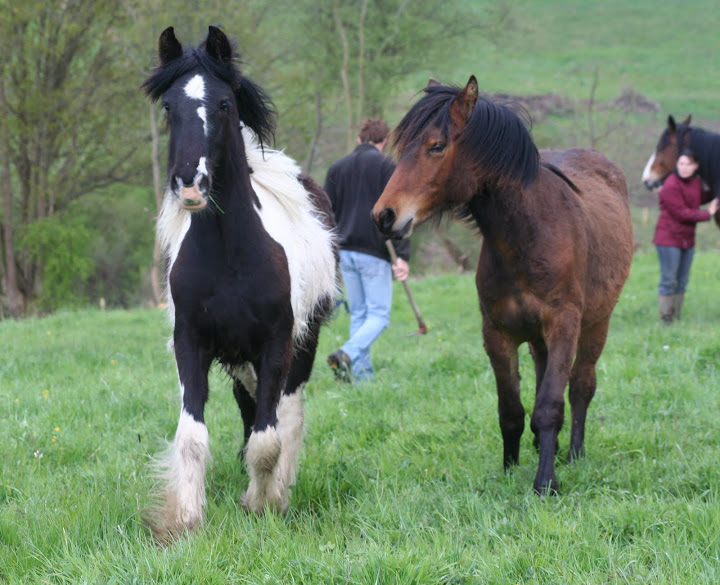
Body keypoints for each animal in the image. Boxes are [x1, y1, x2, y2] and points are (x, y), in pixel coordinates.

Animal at [146, 26, 340, 540]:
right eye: (169, 106)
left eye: (224, 105)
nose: (189, 183)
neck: (228, 254)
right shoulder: (191, 342)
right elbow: (193, 436)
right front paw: (186, 519)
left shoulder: (276, 343)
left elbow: (269, 438)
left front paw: (262, 503)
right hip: (240, 360)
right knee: (251, 409)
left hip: (301, 345)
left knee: (287, 415)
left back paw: (282, 487)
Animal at [374, 76, 632, 492]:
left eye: (436, 145)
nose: (384, 215)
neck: (527, 233)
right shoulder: (497, 332)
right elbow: (510, 410)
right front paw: (510, 469)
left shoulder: (564, 324)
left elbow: (550, 404)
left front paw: (546, 482)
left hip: (596, 324)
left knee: (580, 385)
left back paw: (574, 454)